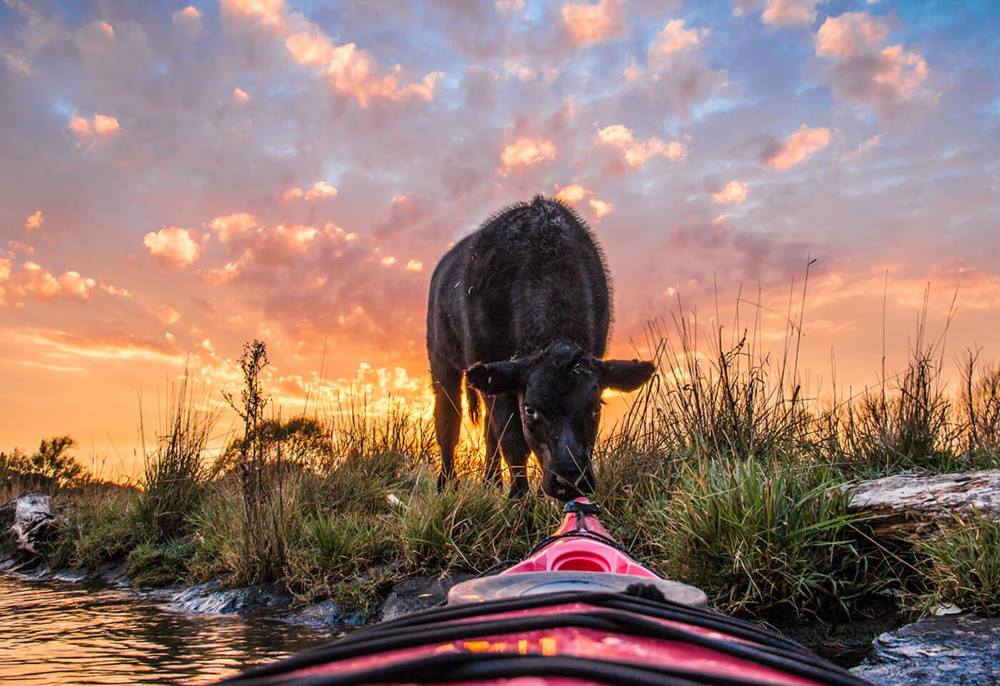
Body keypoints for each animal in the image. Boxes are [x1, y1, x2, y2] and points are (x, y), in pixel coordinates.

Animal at [424, 194, 652, 500]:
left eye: (595, 406)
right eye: (531, 409)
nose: (570, 479)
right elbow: (512, 439)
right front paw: (519, 498)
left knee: (487, 431)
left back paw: (491, 482)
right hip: (442, 361)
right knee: (449, 418)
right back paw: (447, 484)